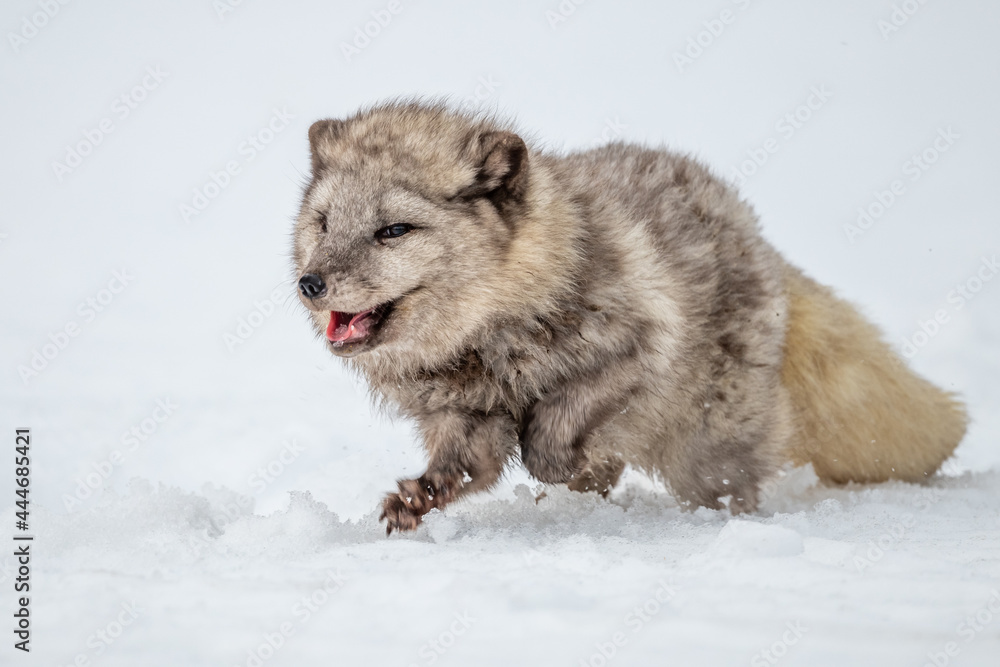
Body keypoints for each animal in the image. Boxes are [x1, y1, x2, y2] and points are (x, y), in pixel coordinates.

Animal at [292, 100, 967, 534]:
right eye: (323, 223)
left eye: (394, 230)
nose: (310, 283)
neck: (487, 341)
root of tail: (761, 241)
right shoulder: (461, 417)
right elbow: (464, 470)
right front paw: (417, 500)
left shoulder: (637, 348)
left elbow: (551, 436)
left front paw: (571, 461)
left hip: (707, 454)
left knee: (730, 490)